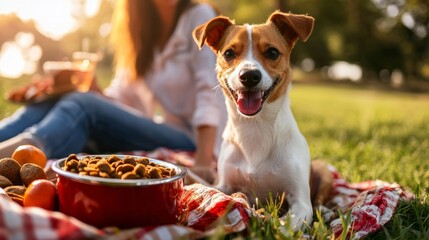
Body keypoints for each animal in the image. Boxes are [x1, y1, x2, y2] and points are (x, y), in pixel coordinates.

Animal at [192, 11, 320, 229]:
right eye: (228, 54)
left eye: (272, 53)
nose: (249, 75)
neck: (255, 126)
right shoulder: (223, 184)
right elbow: (216, 192)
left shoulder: (301, 201)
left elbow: (286, 226)